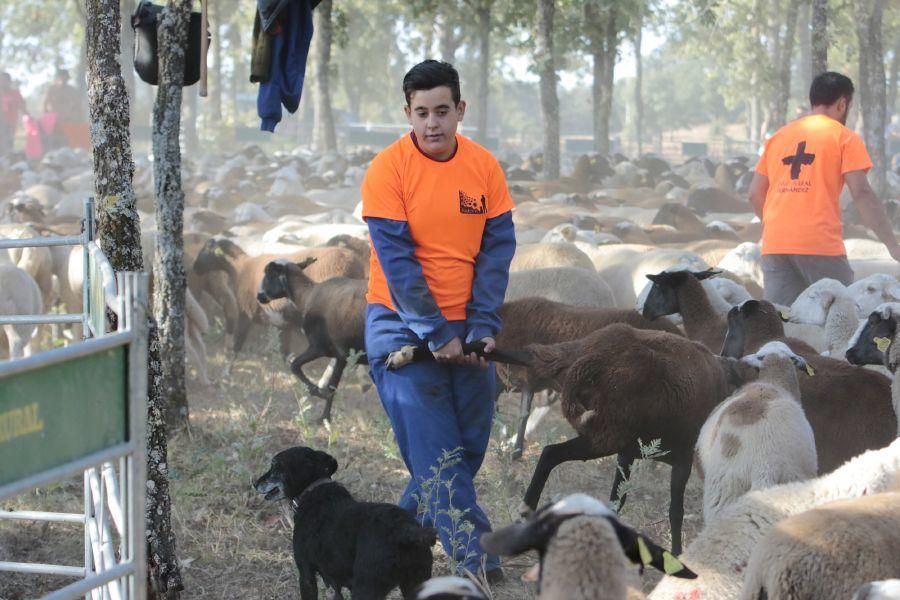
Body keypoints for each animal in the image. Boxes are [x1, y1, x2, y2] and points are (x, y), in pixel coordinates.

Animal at [255, 448, 438, 596]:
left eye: (274, 466)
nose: (255, 483)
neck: (314, 489)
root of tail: (405, 529)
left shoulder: (306, 574)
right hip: (417, 582)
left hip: (367, 587)